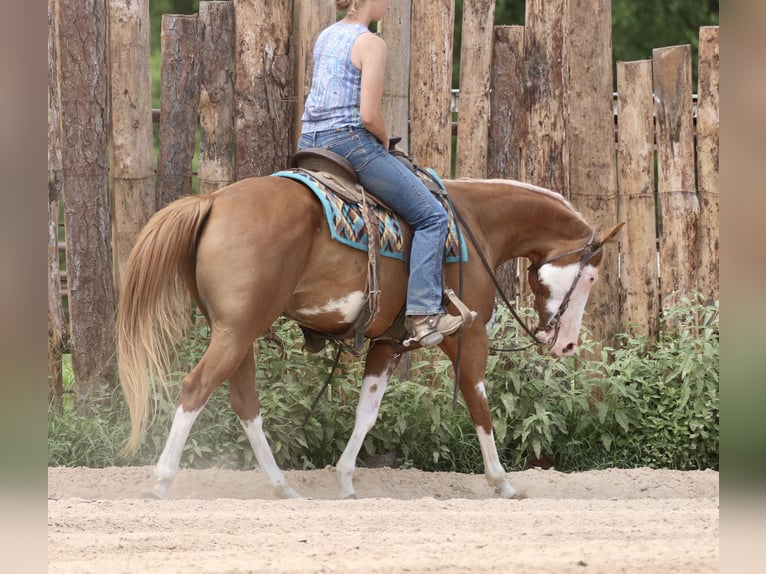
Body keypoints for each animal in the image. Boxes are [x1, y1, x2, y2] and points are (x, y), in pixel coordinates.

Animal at [116, 168, 622, 500]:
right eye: (592, 277)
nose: (566, 343)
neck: (475, 224)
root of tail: (214, 202)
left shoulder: (388, 342)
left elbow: (367, 412)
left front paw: (345, 479)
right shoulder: (468, 335)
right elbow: (480, 405)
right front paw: (502, 482)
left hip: (237, 333)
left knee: (245, 403)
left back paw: (281, 487)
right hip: (237, 332)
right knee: (196, 388)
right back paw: (163, 480)